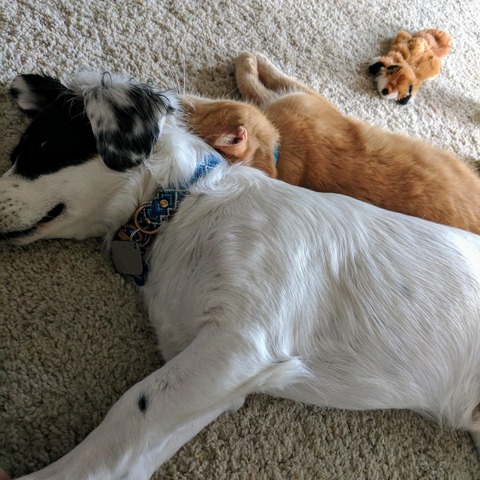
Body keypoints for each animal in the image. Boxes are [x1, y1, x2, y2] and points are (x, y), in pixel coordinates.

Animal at [2, 71, 480, 479]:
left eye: (40, 149)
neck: (183, 207)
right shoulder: (218, 376)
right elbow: (127, 451)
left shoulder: (241, 341)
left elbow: (129, 408)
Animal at [182, 51, 480, 234]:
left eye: (189, 112)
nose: (176, 98)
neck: (281, 150)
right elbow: (260, 84)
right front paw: (250, 62)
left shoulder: (305, 96)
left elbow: (259, 82)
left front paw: (250, 59)